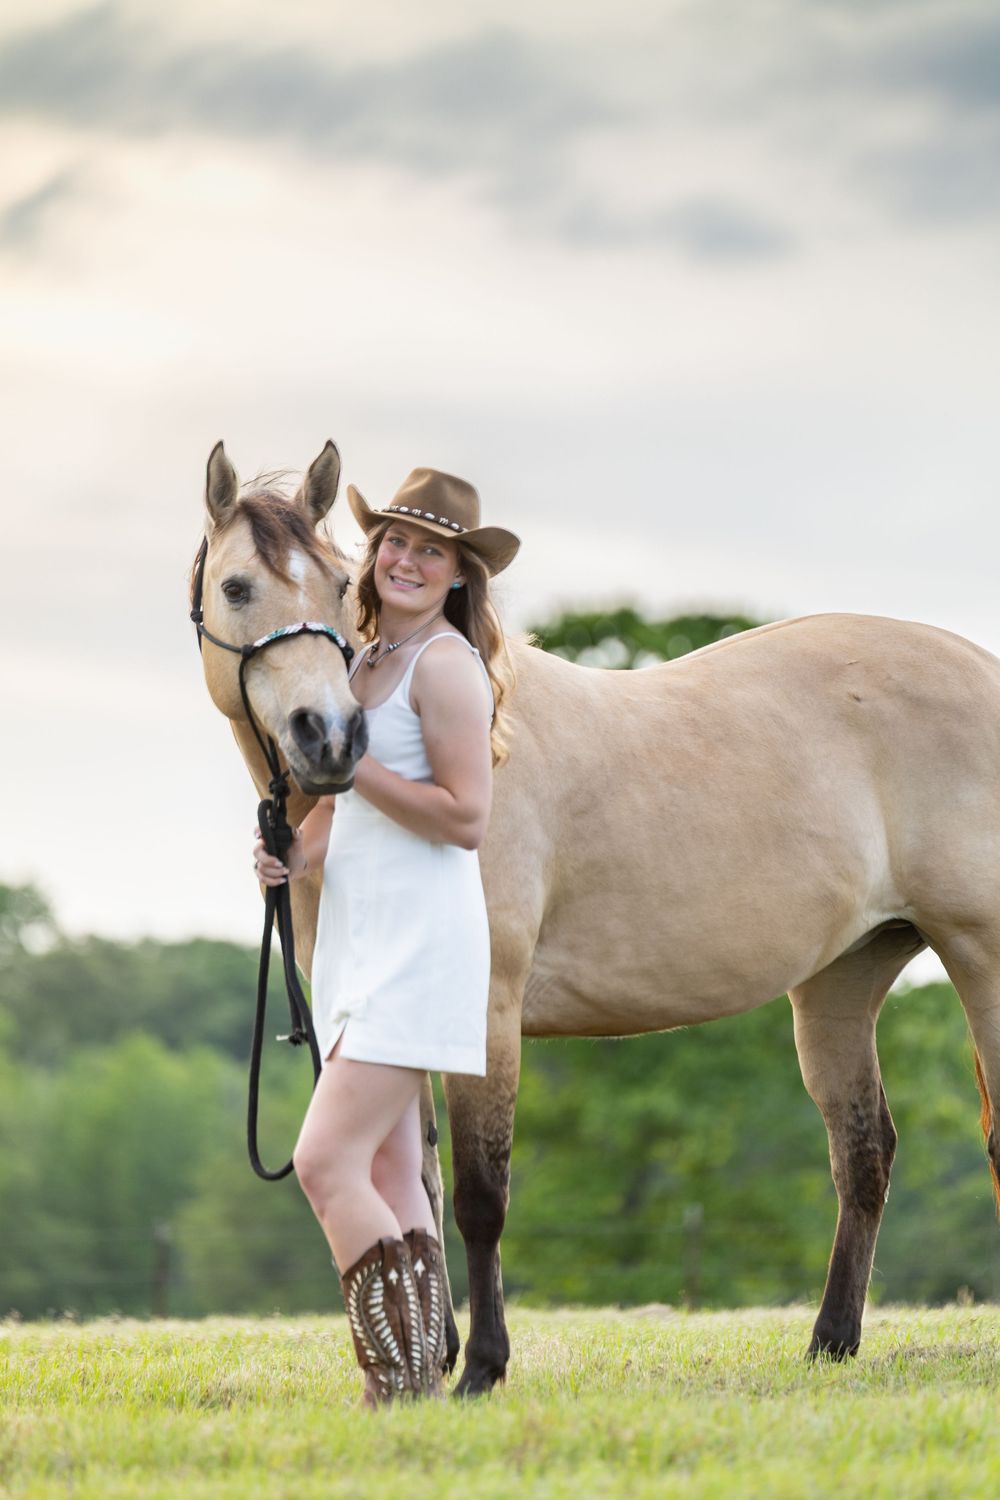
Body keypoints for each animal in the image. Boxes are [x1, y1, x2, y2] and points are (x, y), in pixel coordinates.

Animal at [193, 440, 1000, 1396]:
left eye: (336, 581)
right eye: (239, 586)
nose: (329, 739)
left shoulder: (487, 1010)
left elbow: (480, 1195)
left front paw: (482, 1369)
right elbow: (416, 1187)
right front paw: (436, 1358)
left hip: (980, 955)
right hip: (842, 981)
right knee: (863, 1156)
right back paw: (830, 1342)